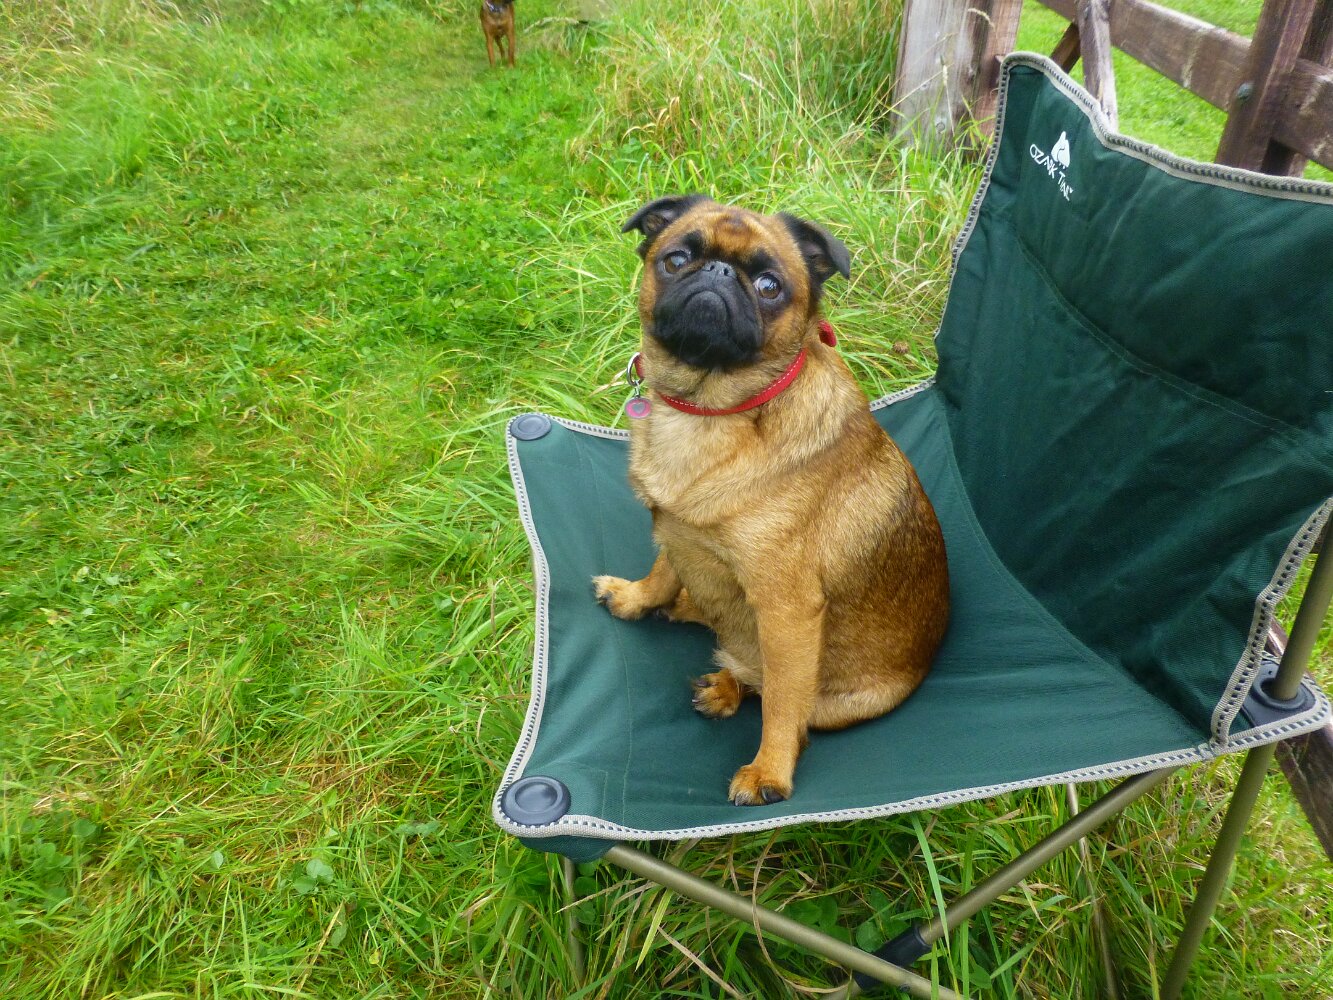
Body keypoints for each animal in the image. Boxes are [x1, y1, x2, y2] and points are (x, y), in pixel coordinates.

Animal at [593, 195, 950, 806]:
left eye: (768, 285)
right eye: (676, 258)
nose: (716, 273)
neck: (710, 411)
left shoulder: (787, 611)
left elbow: (782, 706)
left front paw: (768, 771)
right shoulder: (676, 531)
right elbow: (664, 570)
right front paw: (639, 598)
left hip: (829, 696)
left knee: (775, 692)